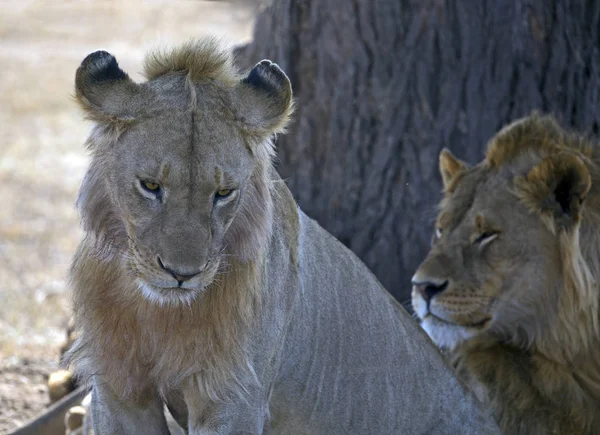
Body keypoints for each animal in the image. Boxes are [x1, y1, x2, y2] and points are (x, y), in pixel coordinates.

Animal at [65, 39, 500, 434]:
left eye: (224, 193)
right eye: (151, 186)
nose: (181, 275)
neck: (157, 313)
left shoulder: (234, 399)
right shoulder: (119, 390)